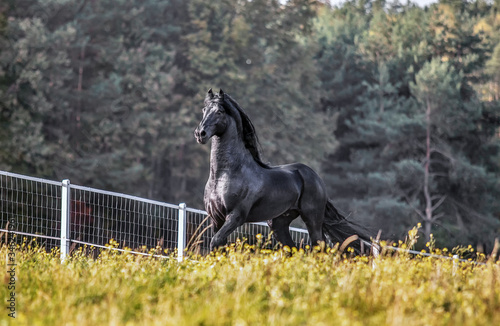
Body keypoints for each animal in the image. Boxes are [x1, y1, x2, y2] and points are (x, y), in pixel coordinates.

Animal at [193, 89, 374, 252]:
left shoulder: (236, 216)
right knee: (293, 249)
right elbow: (217, 247)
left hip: (312, 220)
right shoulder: (216, 219)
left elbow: (215, 242)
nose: (200, 133)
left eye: (219, 111)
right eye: (203, 110)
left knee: (319, 248)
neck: (224, 175)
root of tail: (314, 177)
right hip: (279, 223)